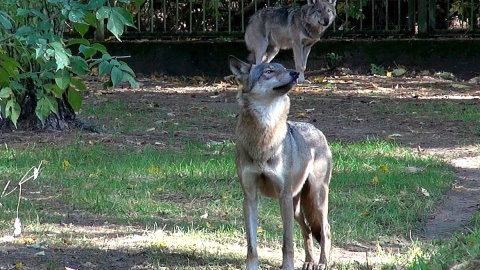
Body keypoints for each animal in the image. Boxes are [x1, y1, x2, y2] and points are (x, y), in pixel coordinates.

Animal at [229, 55, 330, 270]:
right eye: (269, 71)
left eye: (284, 68)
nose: (295, 73)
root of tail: (316, 130)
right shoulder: (250, 197)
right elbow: (251, 244)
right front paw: (252, 267)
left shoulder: (283, 196)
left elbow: (287, 241)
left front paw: (288, 266)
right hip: (297, 206)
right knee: (308, 230)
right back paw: (309, 262)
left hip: (315, 198)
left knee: (325, 228)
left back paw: (322, 263)